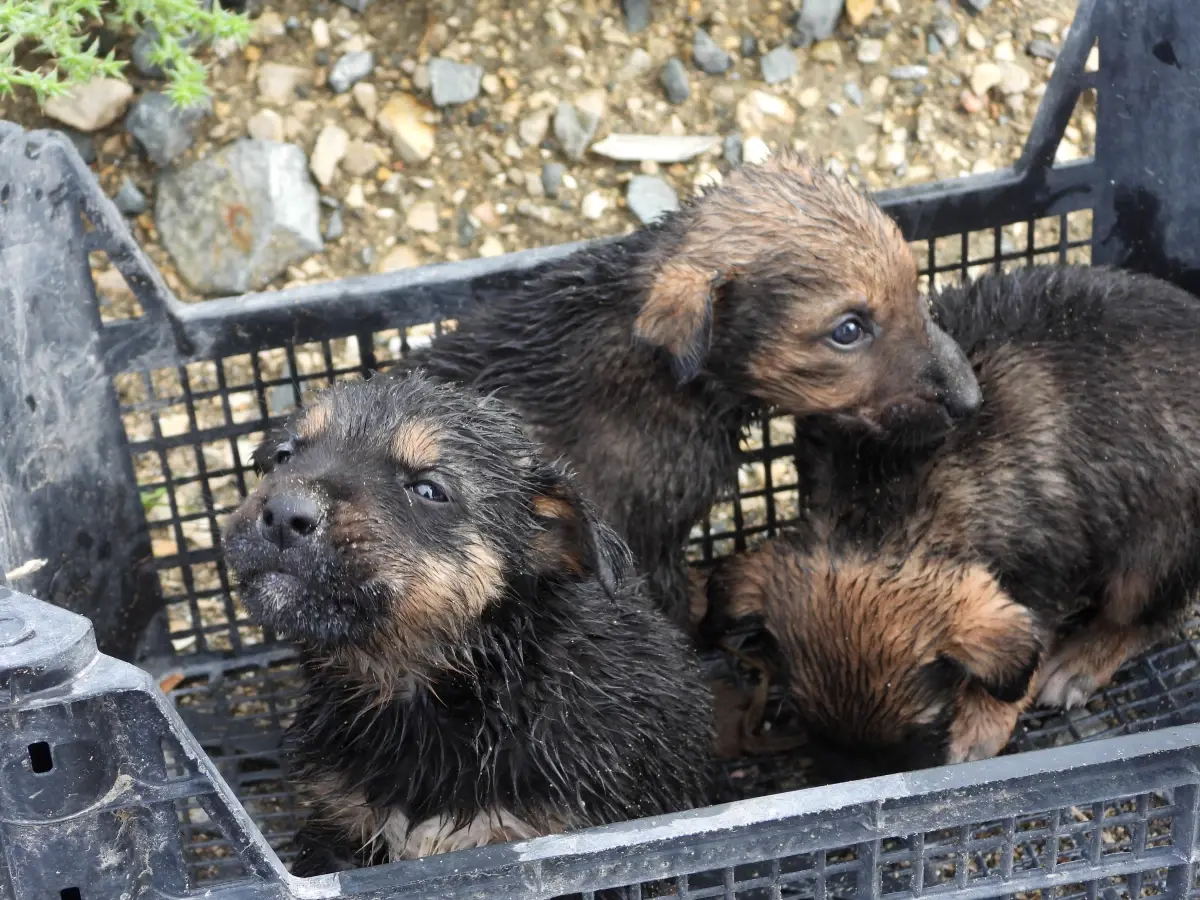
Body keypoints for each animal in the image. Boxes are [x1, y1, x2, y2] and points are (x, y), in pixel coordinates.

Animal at [705, 264, 1200, 777]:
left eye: (922, 729)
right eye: (805, 720)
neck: (883, 501)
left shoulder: (1041, 572)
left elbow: (1021, 658)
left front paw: (979, 723)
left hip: (1158, 544)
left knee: (1149, 615)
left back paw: (1082, 659)